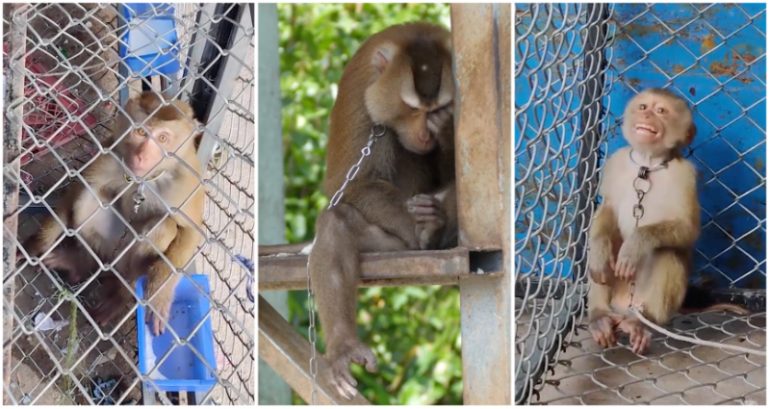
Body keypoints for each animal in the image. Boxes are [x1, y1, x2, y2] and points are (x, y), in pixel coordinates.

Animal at [25, 91, 205, 336]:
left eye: (163, 138)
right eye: (140, 132)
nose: (141, 157)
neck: (145, 179)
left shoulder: (187, 182)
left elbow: (190, 232)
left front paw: (159, 296)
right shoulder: (110, 154)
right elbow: (80, 187)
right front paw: (37, 245)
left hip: (124, 262)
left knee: (163, 227)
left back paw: (120, 296)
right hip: (107, 247)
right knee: (88, 195)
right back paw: (80, 263)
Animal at [308, 22, 456, 399]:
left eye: (436, 109)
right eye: (411, 108)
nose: (425, 134)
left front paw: (447, 130)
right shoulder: (358, 93)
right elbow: (349, 185)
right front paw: (420, 225)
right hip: (390, 246)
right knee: (336, 221)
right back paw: (344, 347)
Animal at [586, 88, 700, 355]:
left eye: (661, 111)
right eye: (643, 107)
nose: (647, 116)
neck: (647, 164)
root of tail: (623, 308)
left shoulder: (686, 175)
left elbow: (688, 229)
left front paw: (635, 245)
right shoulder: (615, 162)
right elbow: (608, 208)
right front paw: (599, 251)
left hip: (654, 305)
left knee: (666, 250)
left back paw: (641, 321)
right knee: (606, 255)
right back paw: (599, 316)